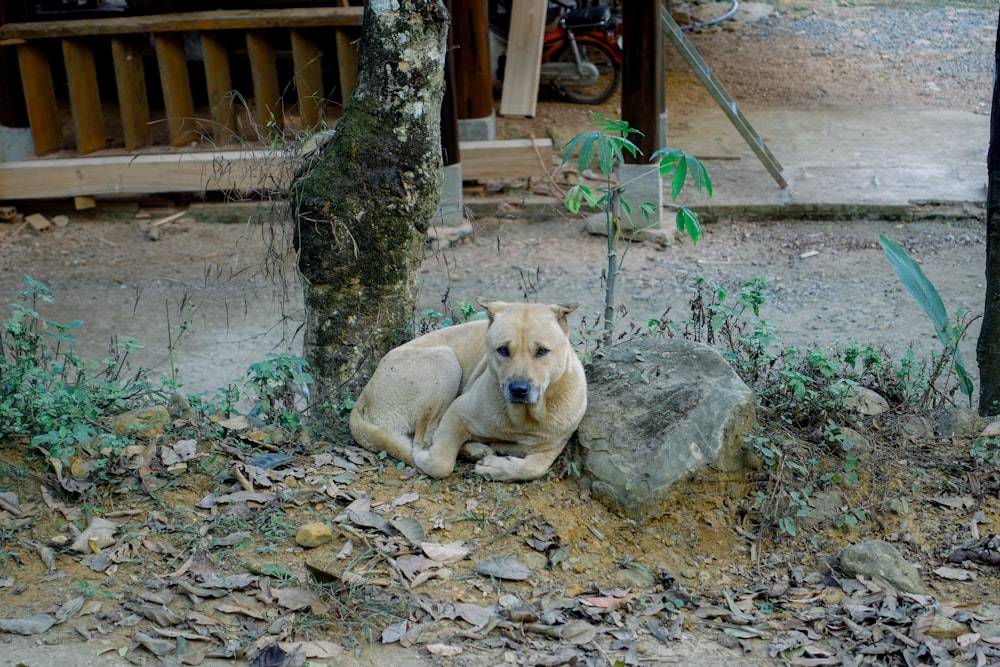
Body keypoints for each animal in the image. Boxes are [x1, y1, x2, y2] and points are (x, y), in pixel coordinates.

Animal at [350, 298, 584, 480]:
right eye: (503, 350)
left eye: (542, 351)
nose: (518, 389)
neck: (523, 418)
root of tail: (363, 397)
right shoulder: (456, 413)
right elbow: (440, 462)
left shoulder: (554, 445)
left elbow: (534, 468)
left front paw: (497, 468)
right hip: (445, 362)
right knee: (424, 436)